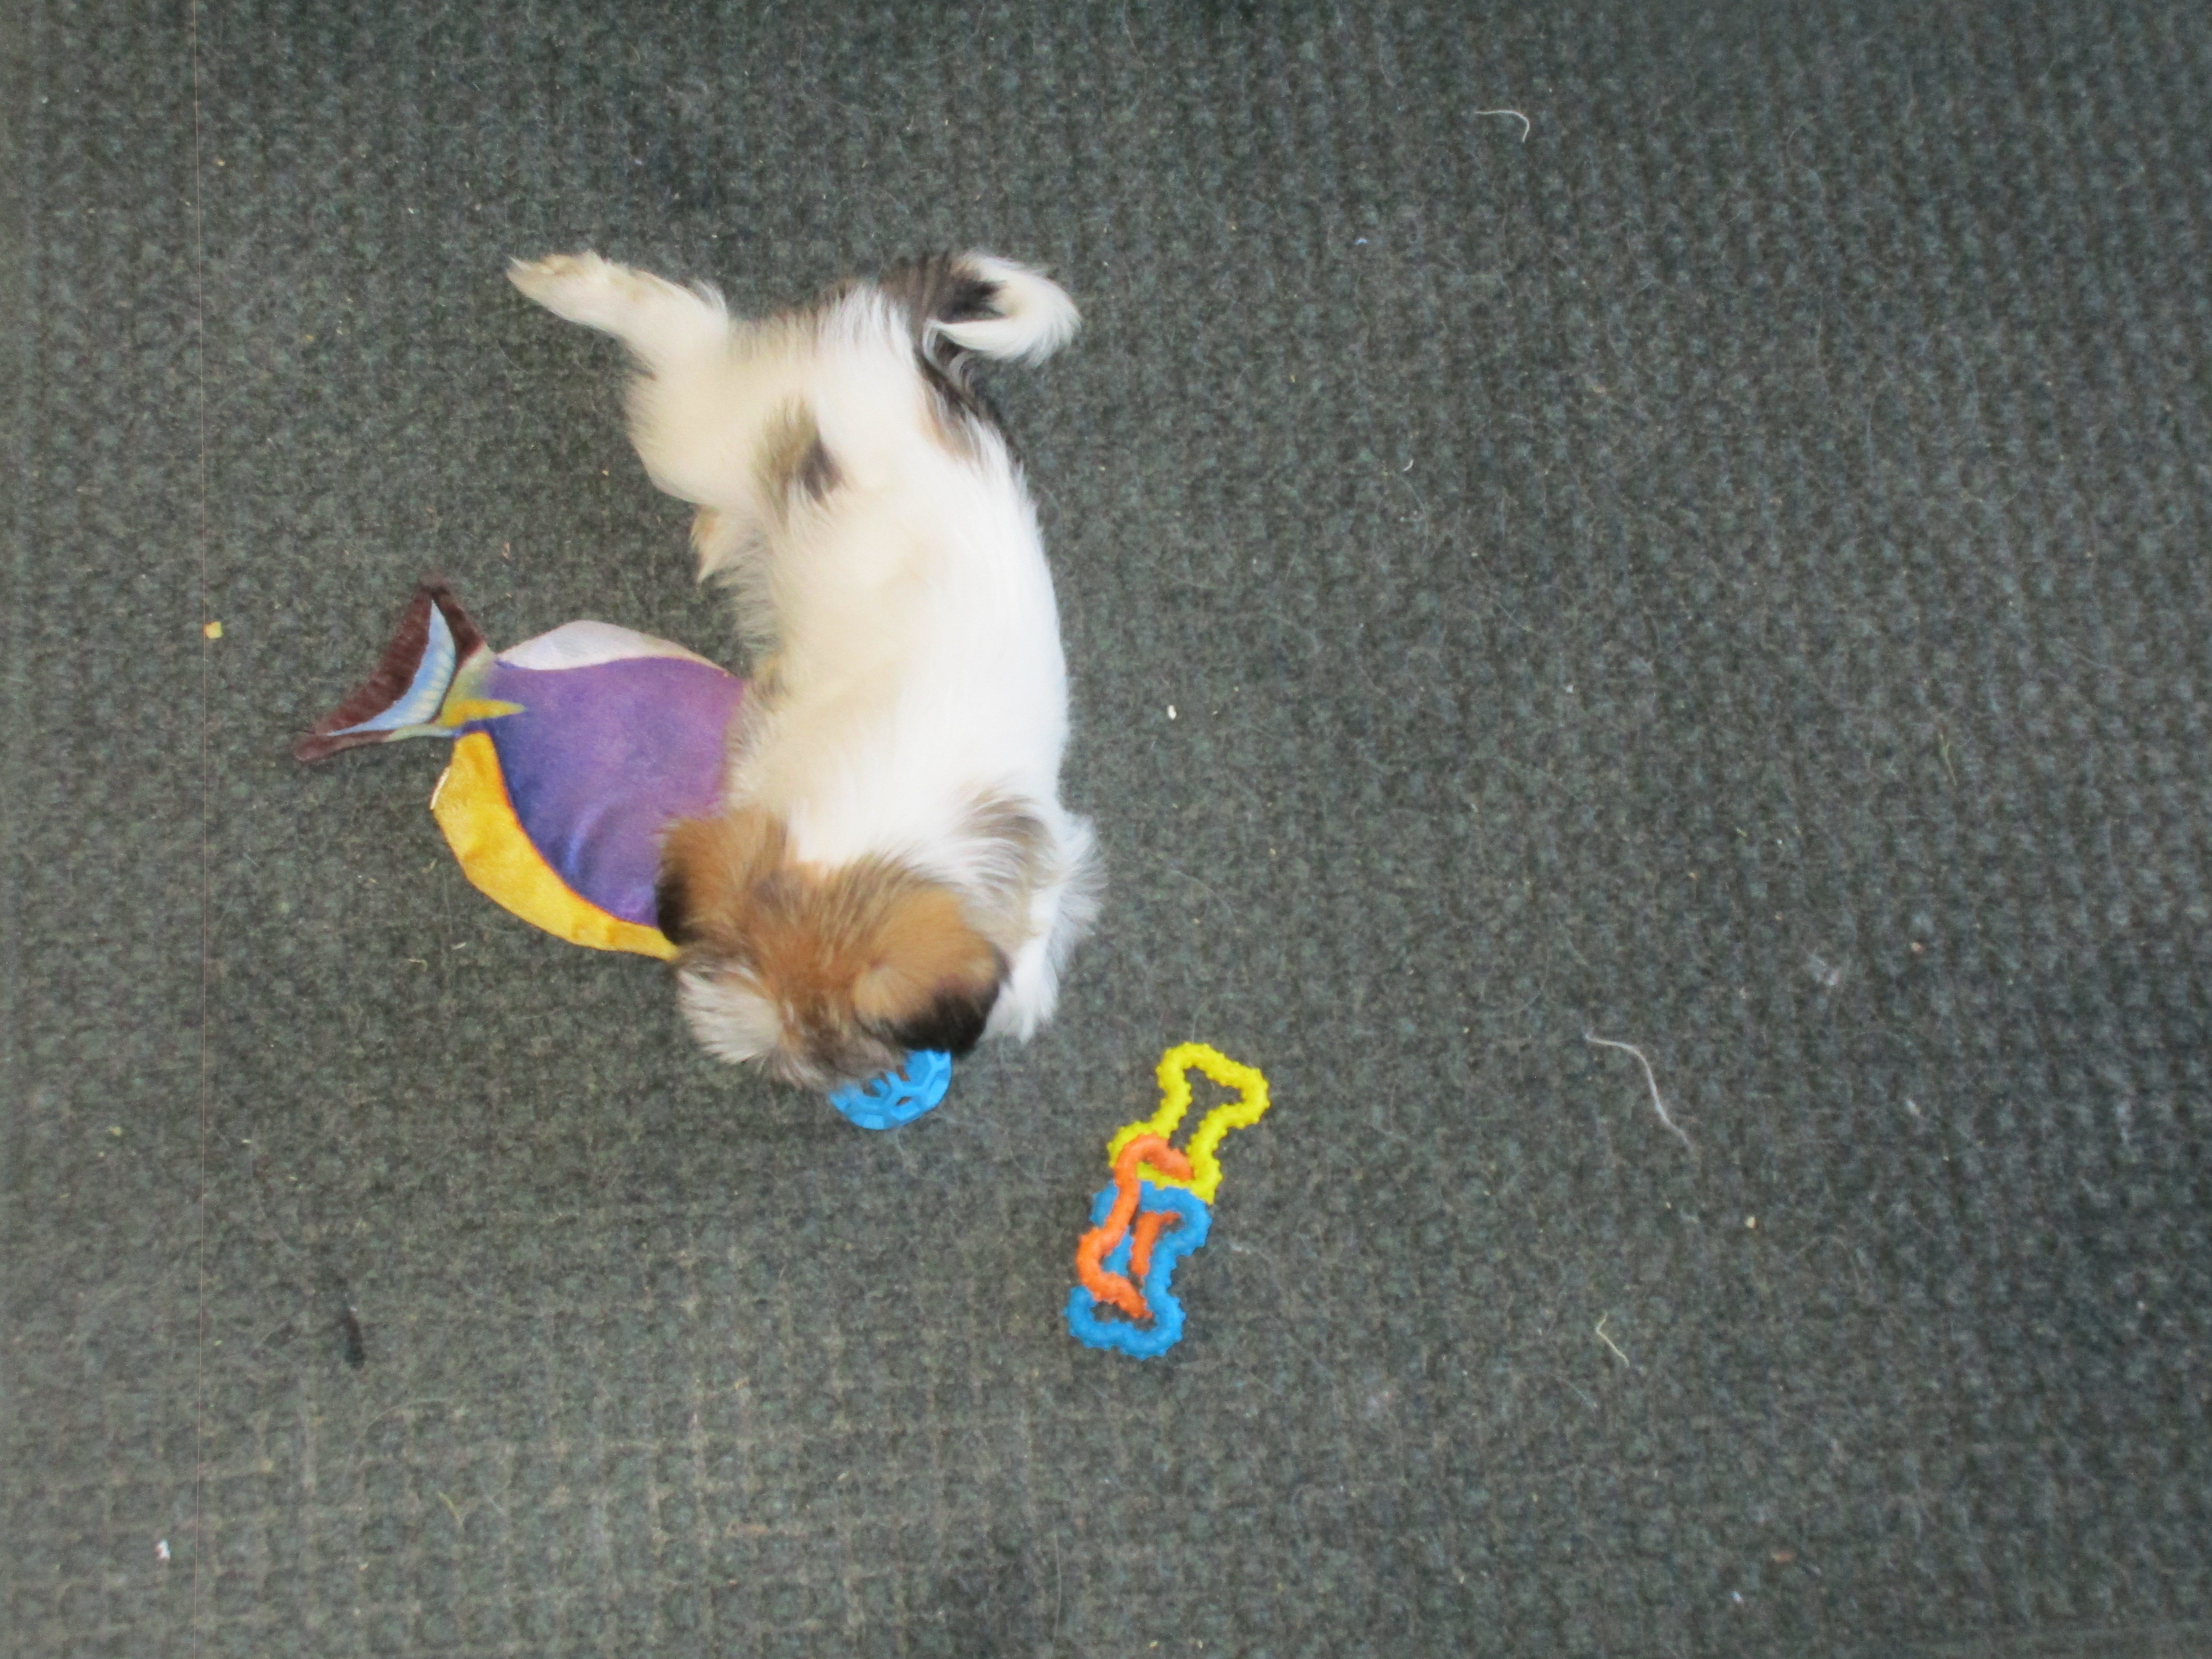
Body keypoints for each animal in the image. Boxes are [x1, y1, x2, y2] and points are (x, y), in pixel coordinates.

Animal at [506, 249, 1098, 1088]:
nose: (800, 1067)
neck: (882, 826)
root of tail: (890, 335)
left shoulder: (1046, 844)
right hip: (710, 425)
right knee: (683, 320)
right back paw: (568, 286)